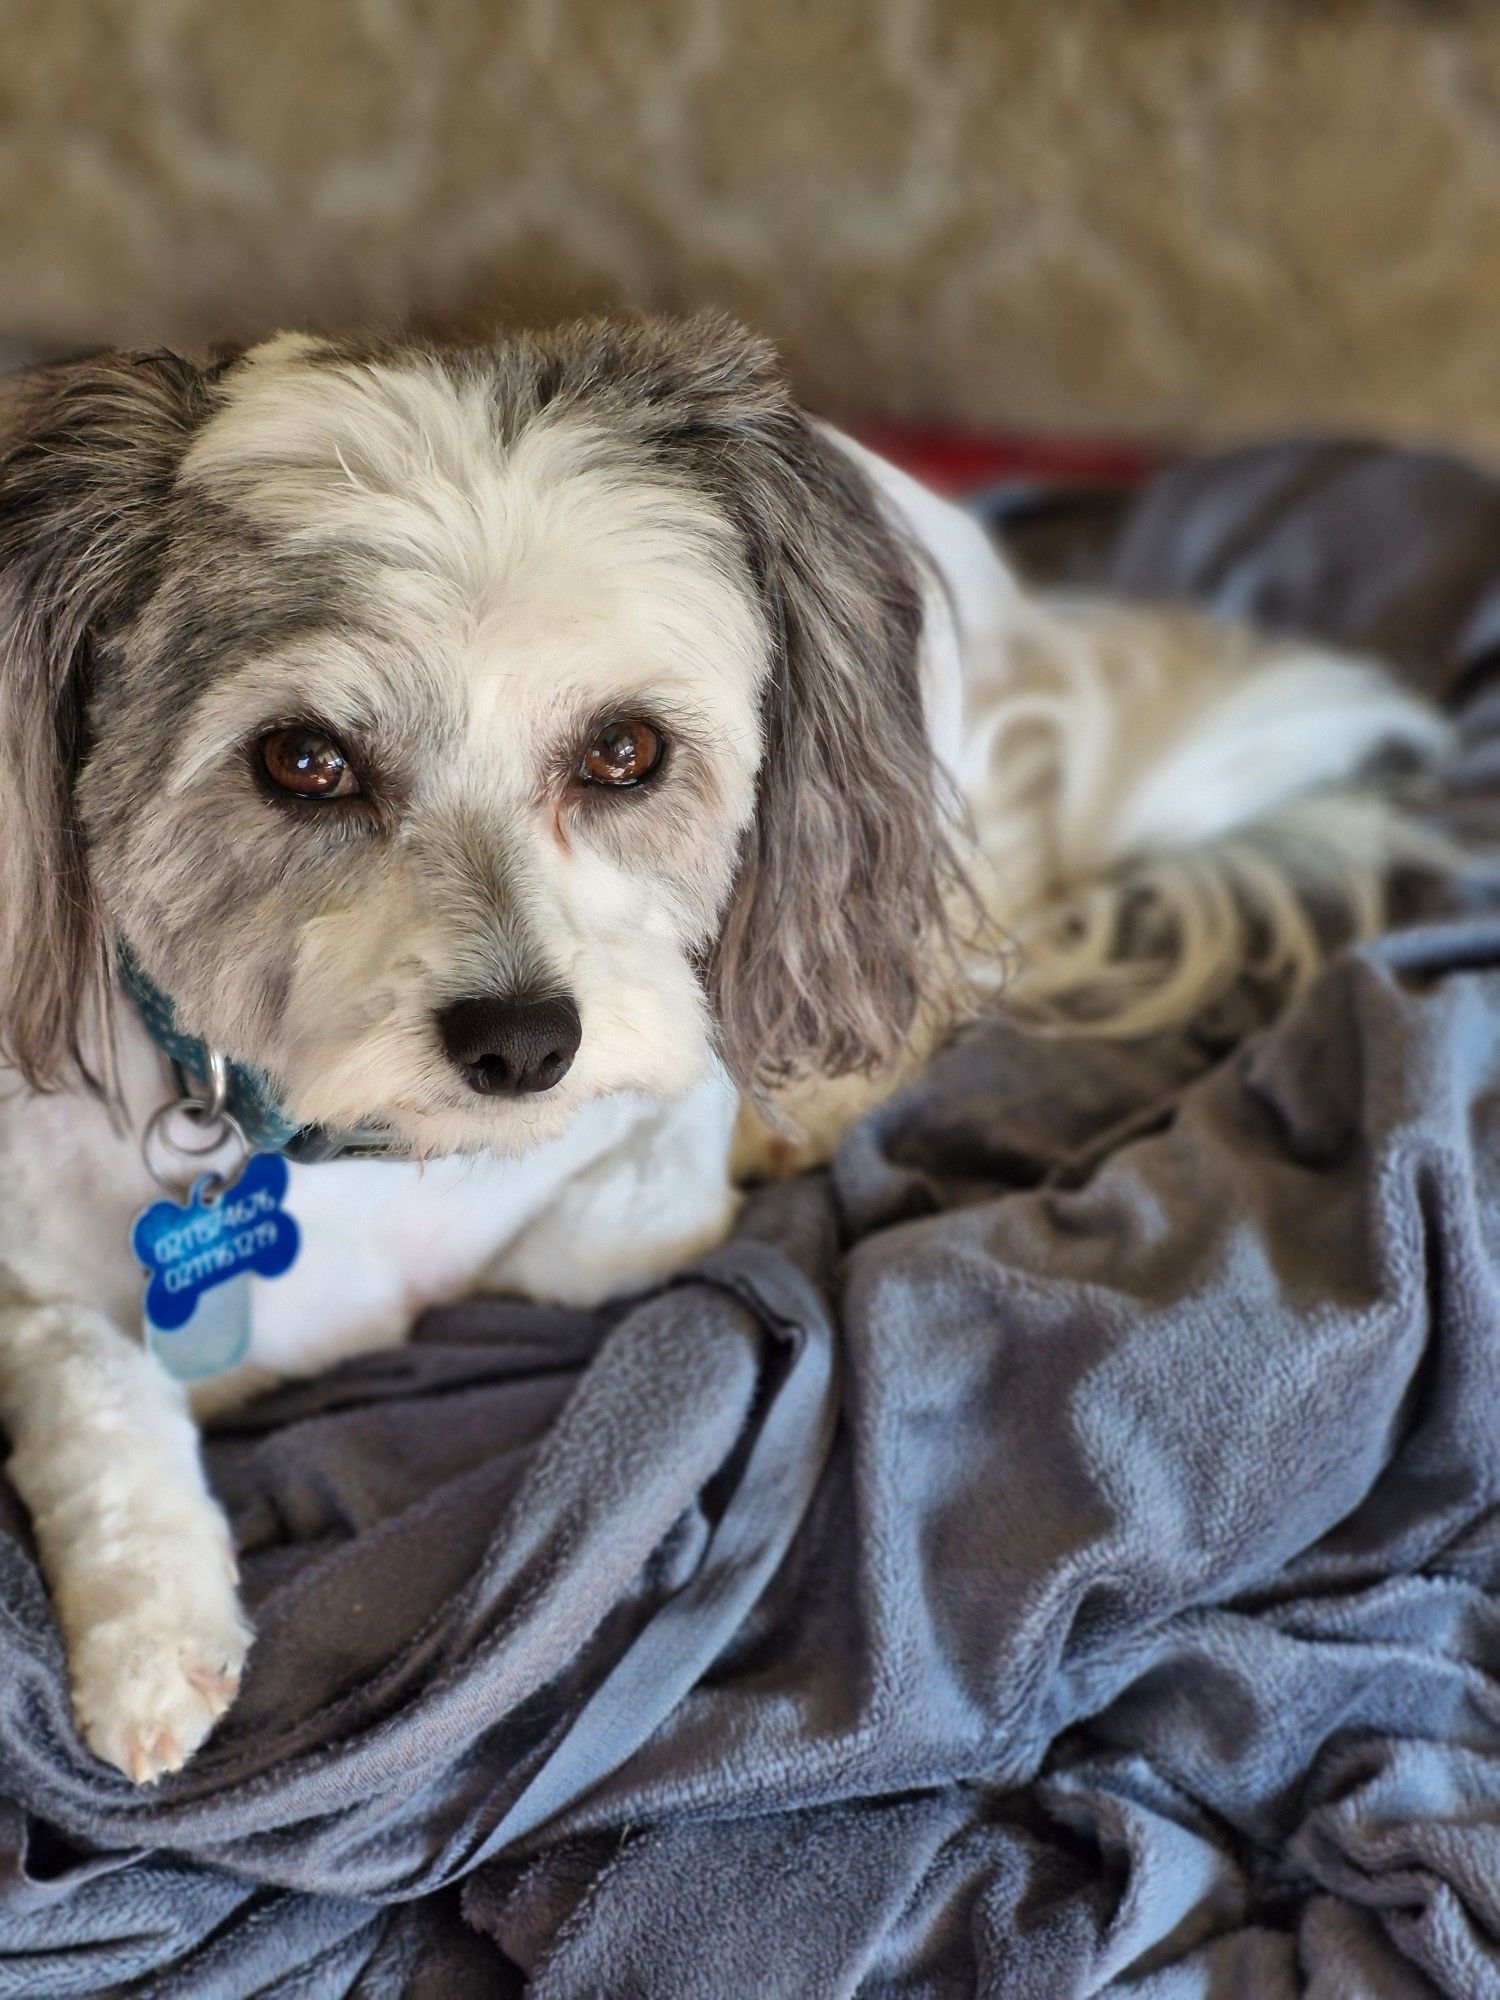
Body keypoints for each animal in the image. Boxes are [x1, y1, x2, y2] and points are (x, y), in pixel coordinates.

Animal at [0, 316, 1448, 1784]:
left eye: (624, 749)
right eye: (302, 760)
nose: (525, 1046)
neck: (368, 1166)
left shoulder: (651, 1165)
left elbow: (564, 1257)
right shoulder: (34, 1256)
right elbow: (95, 1386)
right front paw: (151, 1635)